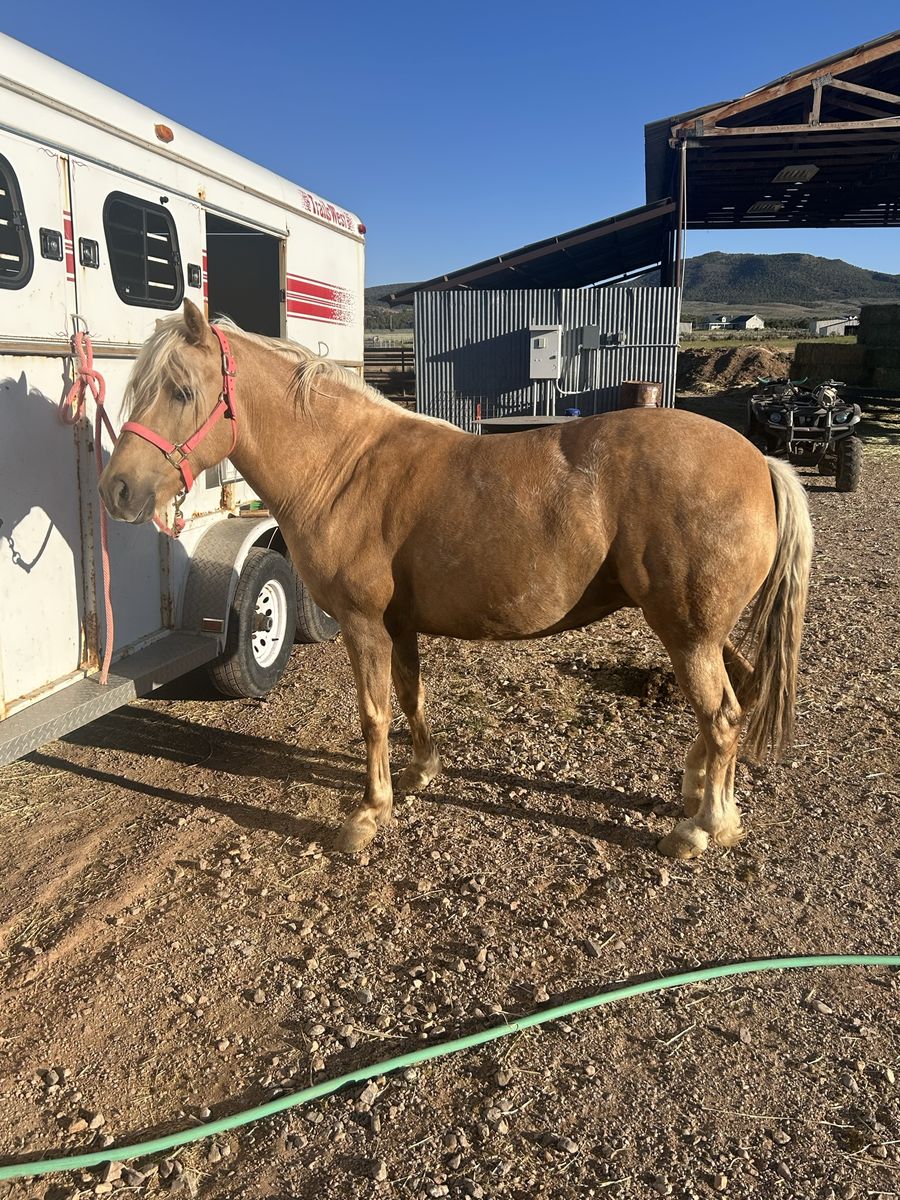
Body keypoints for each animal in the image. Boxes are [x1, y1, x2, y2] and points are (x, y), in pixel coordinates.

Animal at [99, 301, 813, 861]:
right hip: (702, 631)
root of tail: (760, 461)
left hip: (687, 633)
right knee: (738, 697)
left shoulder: (364, 625)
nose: (118, 490)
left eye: (181, 391)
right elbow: (411, 698)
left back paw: (703, 828)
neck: (344, 466)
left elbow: (374, 716)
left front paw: (368, 814)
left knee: (723, 716)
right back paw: (702, 797)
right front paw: (420, 773)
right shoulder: (399, 625)